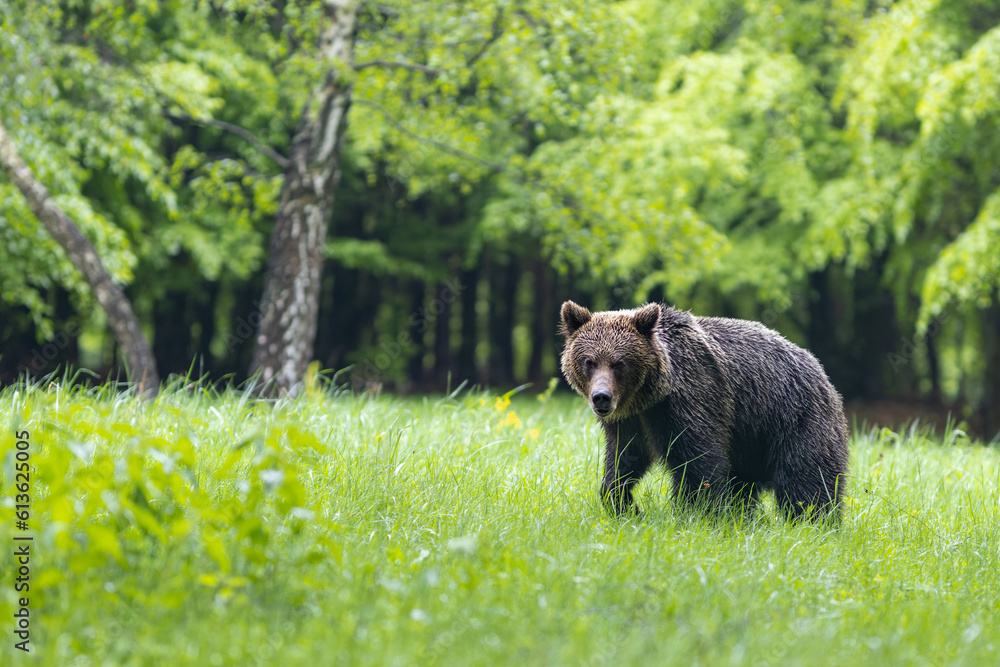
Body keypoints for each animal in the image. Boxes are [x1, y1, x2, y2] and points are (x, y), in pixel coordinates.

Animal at [559, 300, 849, 519]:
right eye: (589, 361)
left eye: (619, 363)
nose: (601, 398)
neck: (648, 397)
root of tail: (822, 374)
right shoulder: (631, 422)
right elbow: (623, 459)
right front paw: (625, 505)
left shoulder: (692, 400)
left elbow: (699, 462)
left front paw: (693, 513)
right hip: (749, 445)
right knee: (744, 486)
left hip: (793, 419)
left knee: (807, 481)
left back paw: (812, 523)